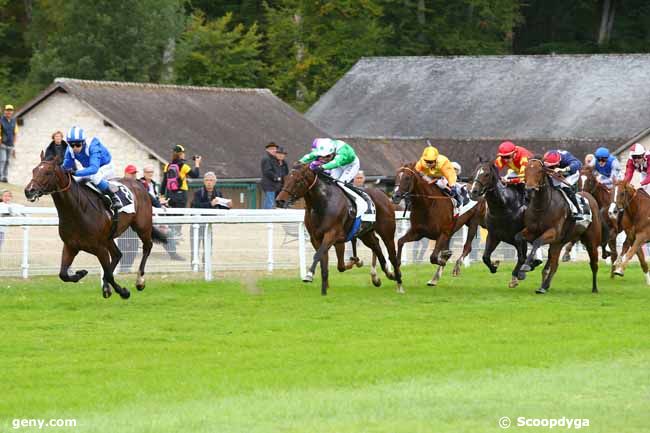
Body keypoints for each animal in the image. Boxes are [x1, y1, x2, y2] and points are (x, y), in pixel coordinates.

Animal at [24, 154, 167, 298]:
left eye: (48, 172)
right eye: (34, 170)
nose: (29, 191)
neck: (78, 211)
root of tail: (140, 184)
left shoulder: (99, 248)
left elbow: (108, 274)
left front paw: (124, 292)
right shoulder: (70, 246)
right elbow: (63, 274)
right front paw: (81, 273)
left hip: (142, 226)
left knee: (147, 246)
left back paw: (139, 281)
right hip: (109, 238)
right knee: (117, 254)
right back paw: (107, 286)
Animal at [274, 164, 400, 296]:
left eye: (298, 181)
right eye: (285, 179)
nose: (280, 200)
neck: (322, 204)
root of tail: (383, 194)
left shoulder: (332, 234)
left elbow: (319, 256)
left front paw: (309, 275)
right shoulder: (316, 239)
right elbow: (327, 263)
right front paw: (324, 291)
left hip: (387, 232)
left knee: (391, 254)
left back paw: (397, 279)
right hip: (365, 233)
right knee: (376, 246)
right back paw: (383, 276)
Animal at [468, 160, 540, 288]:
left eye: (486, 174)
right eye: (474, 173)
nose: (473, 192)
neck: (504, 207)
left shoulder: (519, 238)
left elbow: (522, 258)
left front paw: (516, 276)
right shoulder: (494, 235)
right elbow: (485, 257)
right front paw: (495, 265)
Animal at [512, 157, 600, 292]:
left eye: (539, 171)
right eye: (526, 170)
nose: (529, 189)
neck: (542, 206)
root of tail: (589, 196)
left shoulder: (553, 232)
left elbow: (537, 242)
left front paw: (525, 267)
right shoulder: (532, 231)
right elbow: (518, 237)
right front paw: (520, 268)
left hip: (591, 241)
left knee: (594, 263)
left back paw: (595, 288)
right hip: (559, 243)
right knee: (554, 265)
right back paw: (544, 286)